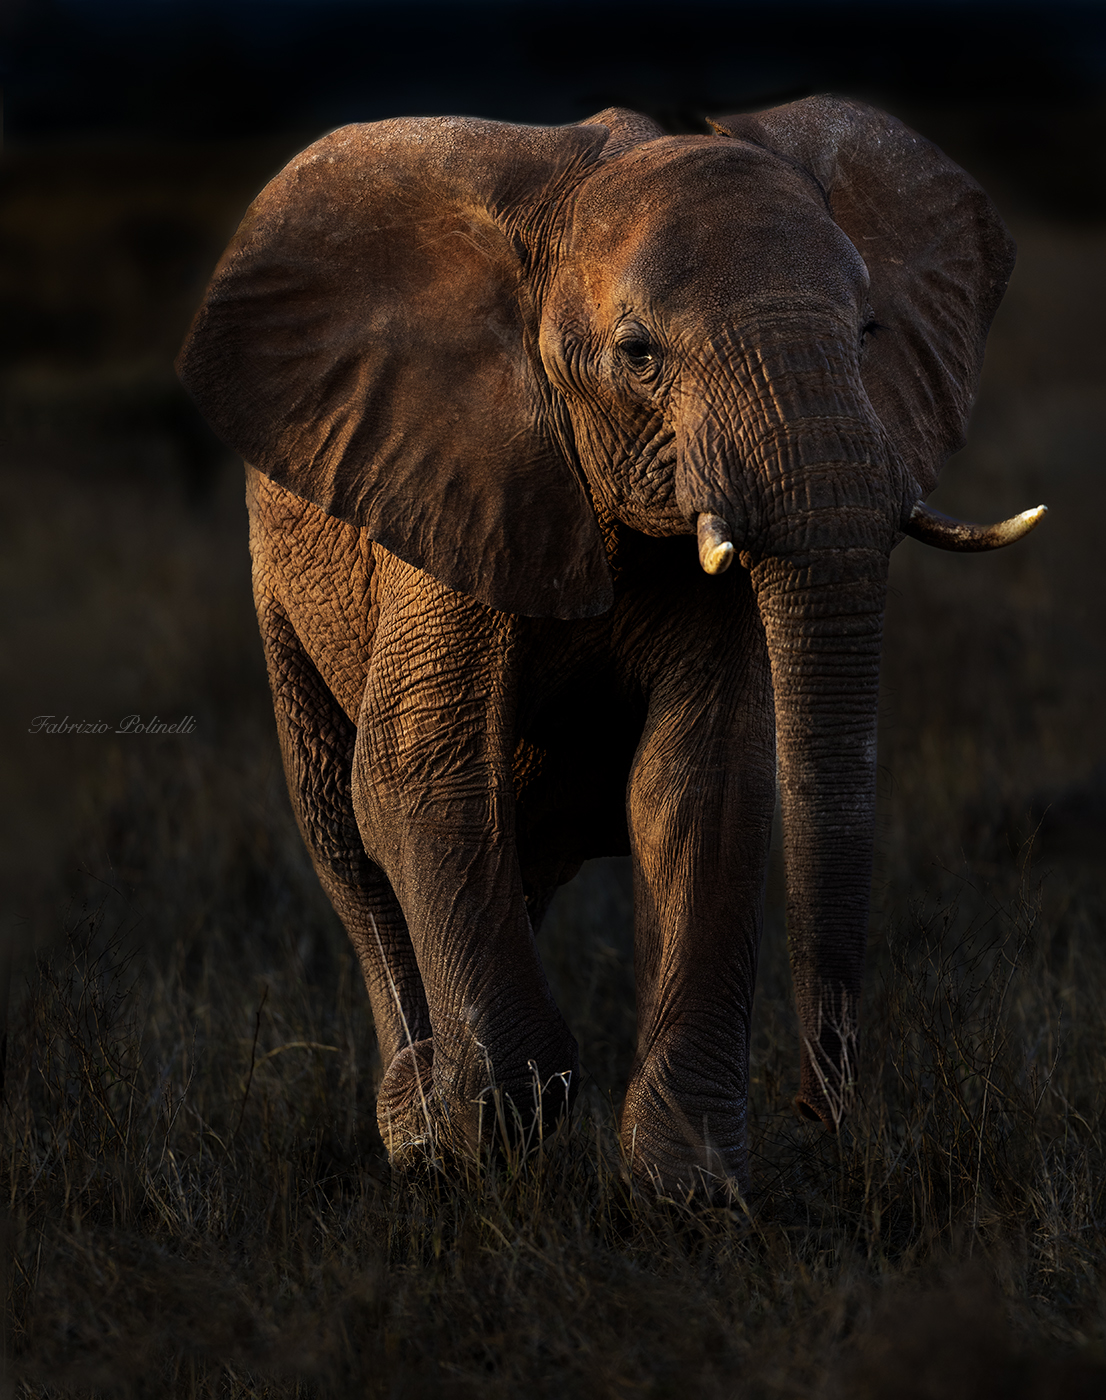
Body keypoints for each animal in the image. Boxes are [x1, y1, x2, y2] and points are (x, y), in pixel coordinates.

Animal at [177, 96, 1044, 1197]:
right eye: (638, 354)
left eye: (867, 332)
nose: (820, 1104)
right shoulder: (457, 478)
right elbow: (419, 770)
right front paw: (492, 1141)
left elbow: (698, 778)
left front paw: (687, 1192)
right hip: (282, 583)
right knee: (345, 835)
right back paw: (418, 1133)